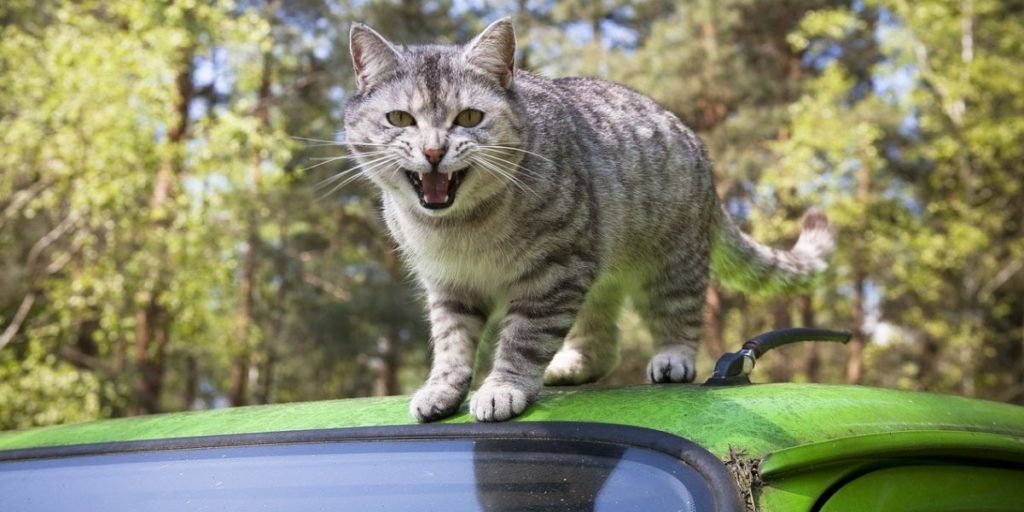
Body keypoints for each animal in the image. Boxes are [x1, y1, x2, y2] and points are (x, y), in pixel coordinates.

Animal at [339, 18, 835, 421]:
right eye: (400, 118)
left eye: (469, 116)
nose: (433, 151)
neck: (458, 228)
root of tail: (699, 147)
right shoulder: (450, 286)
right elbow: (452, 344)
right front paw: (442, 389)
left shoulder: (553, 271)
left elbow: (523, 338)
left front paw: (502, 388)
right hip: (598, 276)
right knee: (602, 341)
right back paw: (569, 367)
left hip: (671, 262)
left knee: (681, 313)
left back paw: (672, 357)